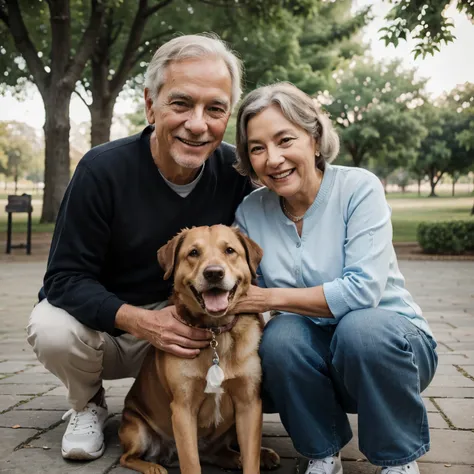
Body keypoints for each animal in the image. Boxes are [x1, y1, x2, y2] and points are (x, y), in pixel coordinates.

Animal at [119, 224, 282, 472]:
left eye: (230, 250)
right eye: (193, 253)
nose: (214, 273)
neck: (216, 333)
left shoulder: (249, 404)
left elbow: (250, 460)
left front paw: (253, 458)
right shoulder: (183, 409)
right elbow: (191, 463)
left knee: (222, 452)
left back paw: (249, 456)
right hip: (137, 430)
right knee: (126, 457)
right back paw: (153, 467)